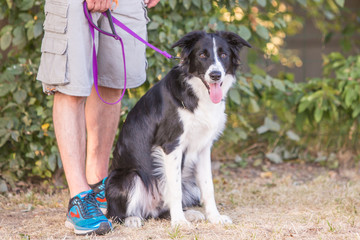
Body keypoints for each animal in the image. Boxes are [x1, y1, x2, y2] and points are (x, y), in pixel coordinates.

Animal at [105, 30, 249, 227]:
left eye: (223, 54)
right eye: (202, 55)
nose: (216, 75)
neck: (194, 92)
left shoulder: (203, 148)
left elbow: (208, 187)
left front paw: (215, 217)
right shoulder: (171, 146)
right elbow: (174, 188)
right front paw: (179, 222)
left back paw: (189, 214)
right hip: (128, 177)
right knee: (115, 213)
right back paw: (132, 219)